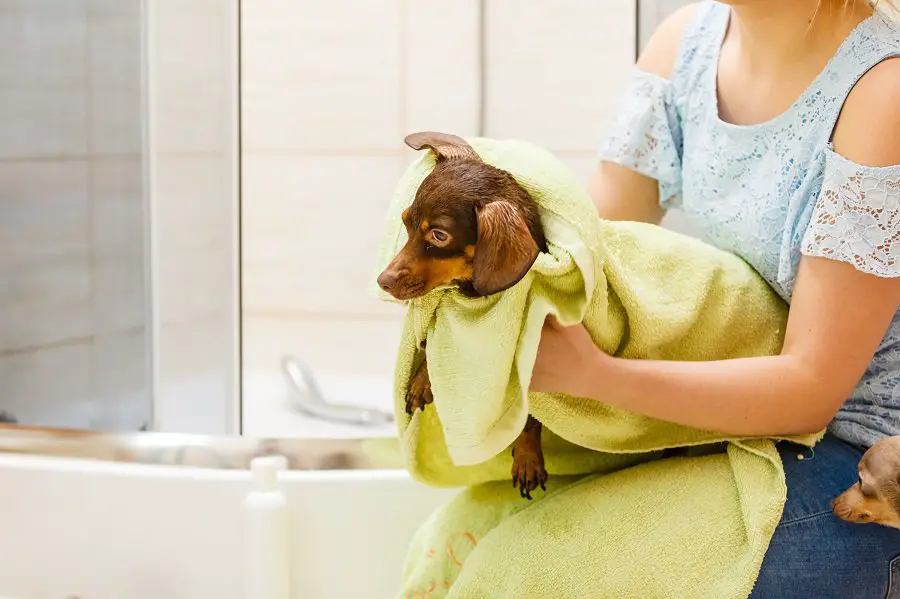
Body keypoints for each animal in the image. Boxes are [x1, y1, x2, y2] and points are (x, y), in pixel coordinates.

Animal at [378, 132, 548, 502]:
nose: (382, 281)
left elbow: (529, 419)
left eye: (439, 236)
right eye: (406, 221)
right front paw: (422, 381)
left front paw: (528, 459)